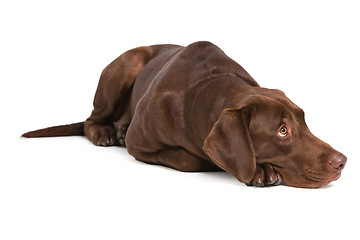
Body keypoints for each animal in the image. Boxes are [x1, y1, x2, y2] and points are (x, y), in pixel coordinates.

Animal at [21, 41, 346, 188]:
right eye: (282, 130)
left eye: (304, 122)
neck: (210, 85)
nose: (342, 161)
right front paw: (259, 169)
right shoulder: (139, 145)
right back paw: (107, 132)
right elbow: (193, 159)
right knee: (91, 119)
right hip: (127, 64)